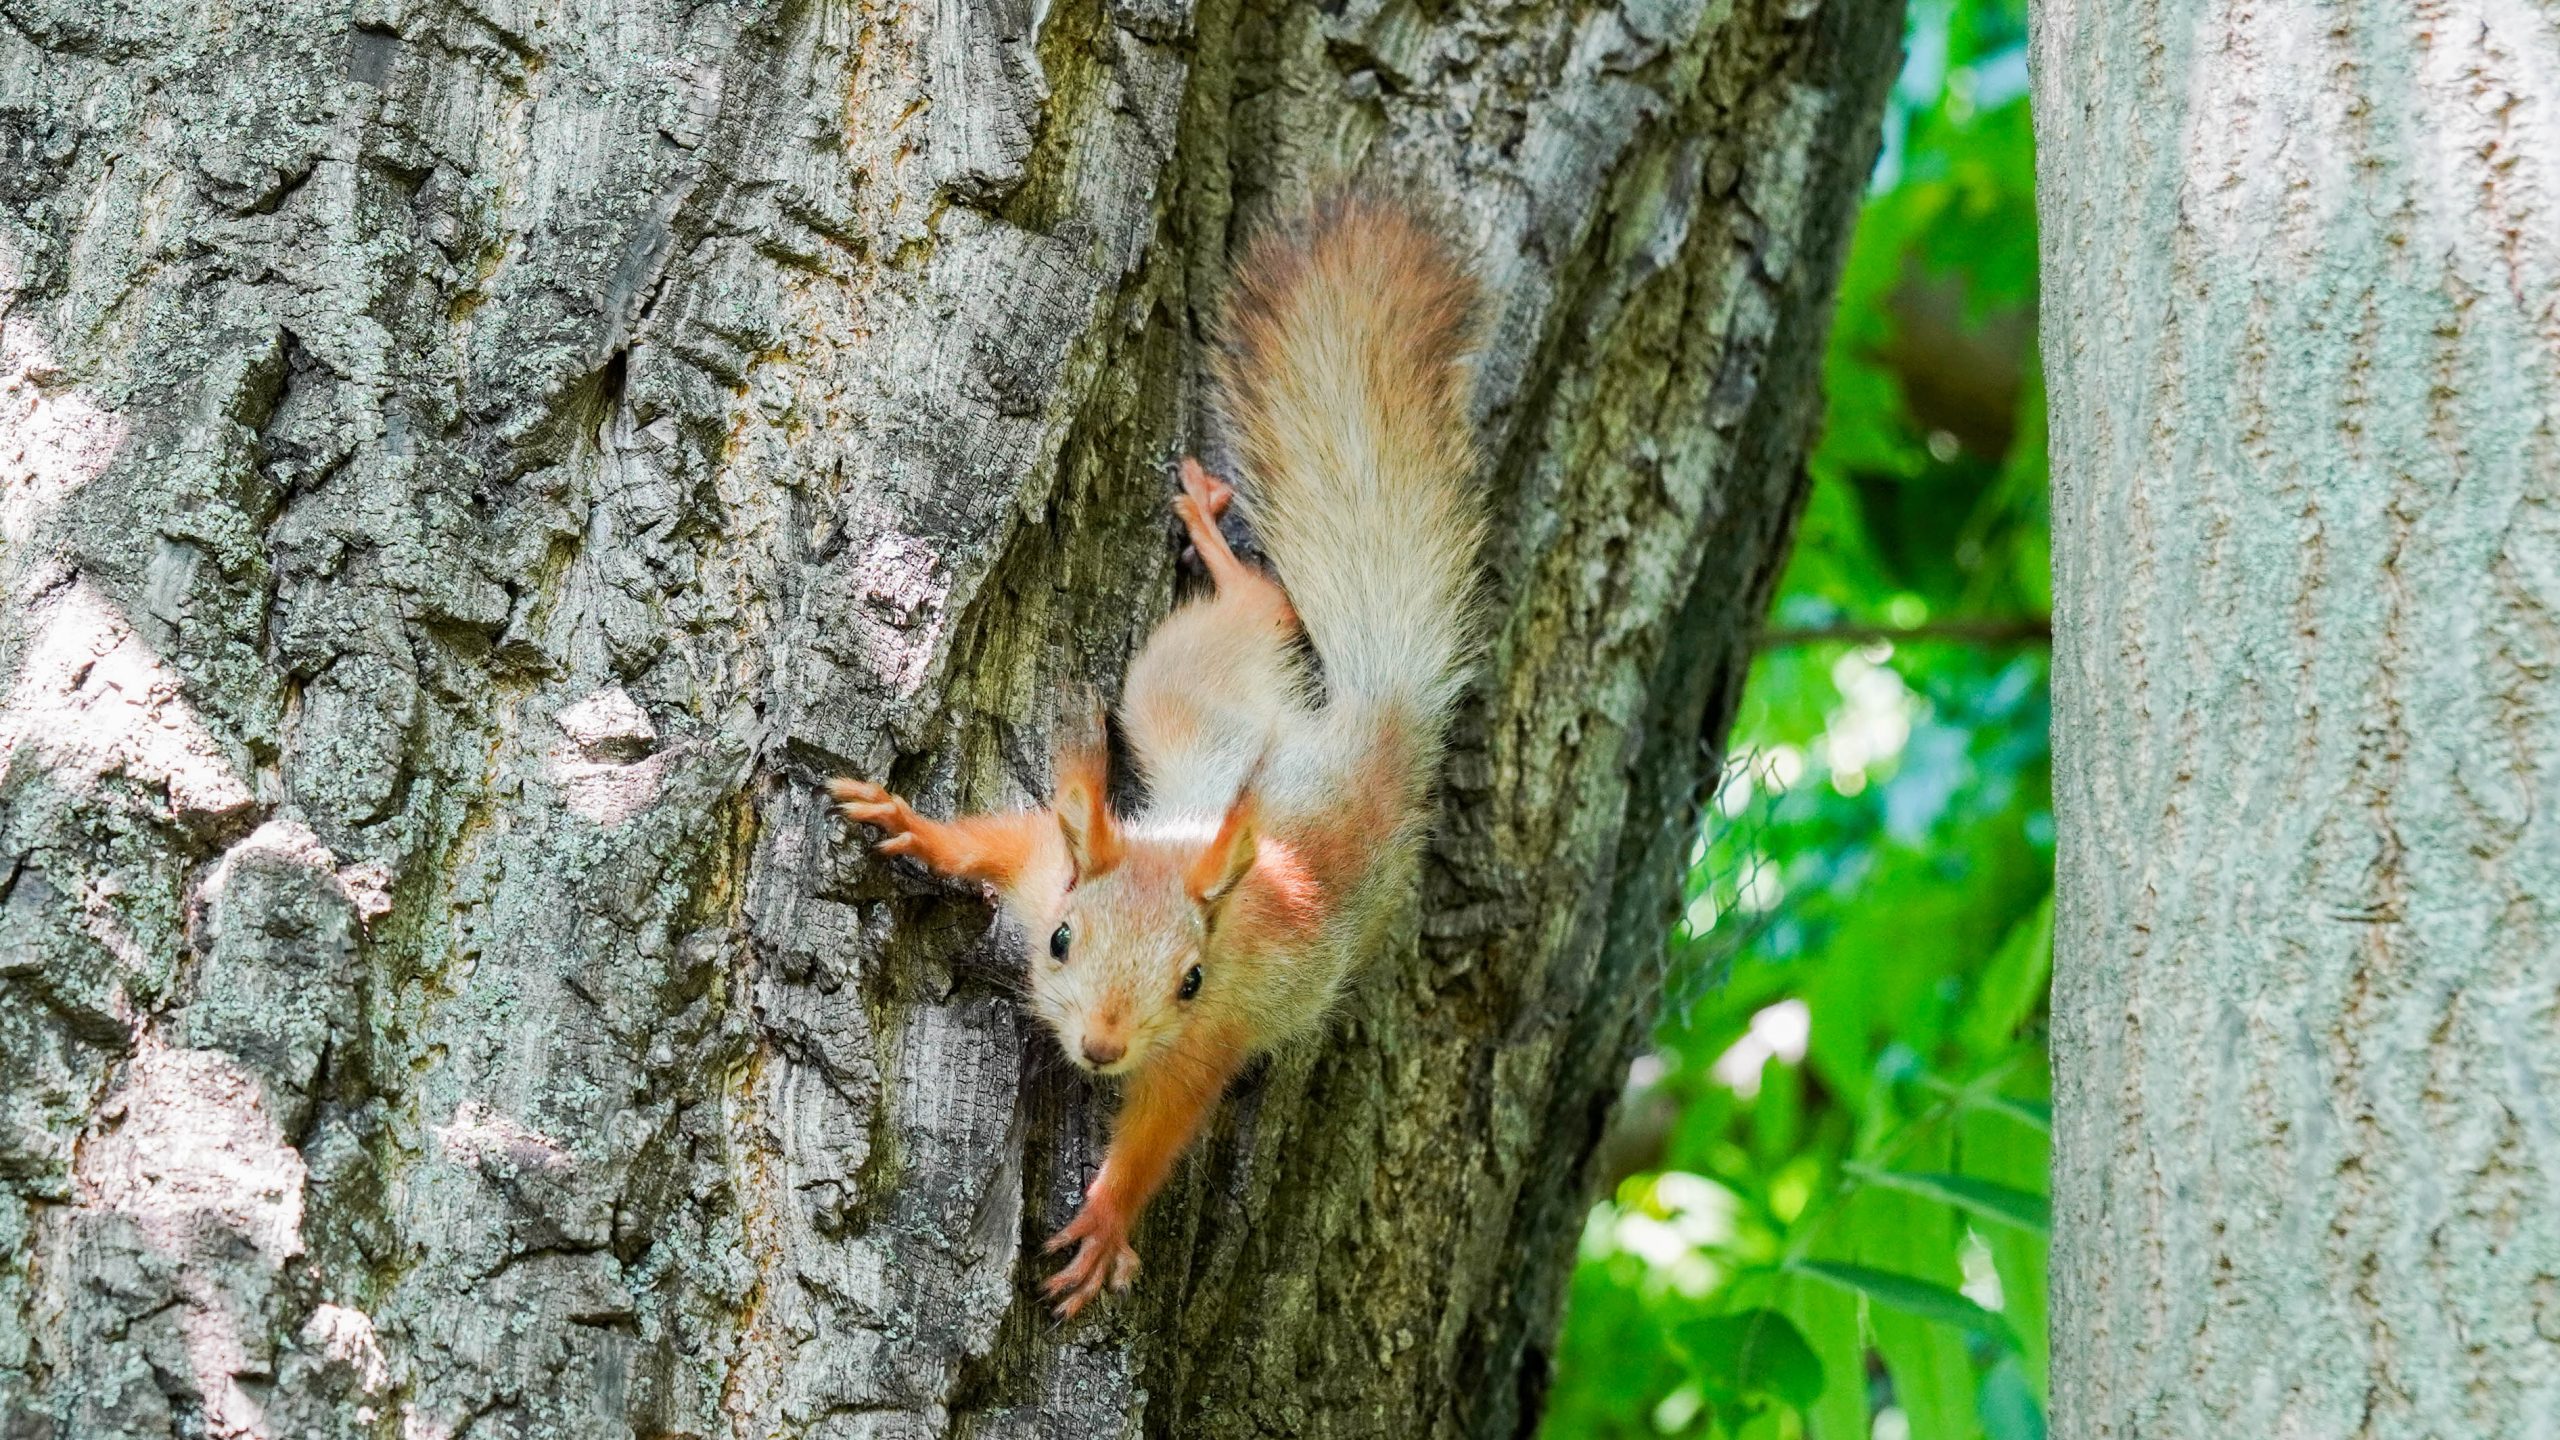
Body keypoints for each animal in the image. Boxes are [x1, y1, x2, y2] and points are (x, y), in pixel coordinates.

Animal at [839, 196, 1484, 1322]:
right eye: (1059, 941)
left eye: (1189, 983)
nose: (1101, 1047)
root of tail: (1370, 734)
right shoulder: (1048, 861)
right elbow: (993, 839)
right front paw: (908, 822)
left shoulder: (1211, 1038)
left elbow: (1161, 1129)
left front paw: (1105, 1220)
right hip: (1180, 692)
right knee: (1256, 616)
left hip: (1185, 698)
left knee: (1263, 609)